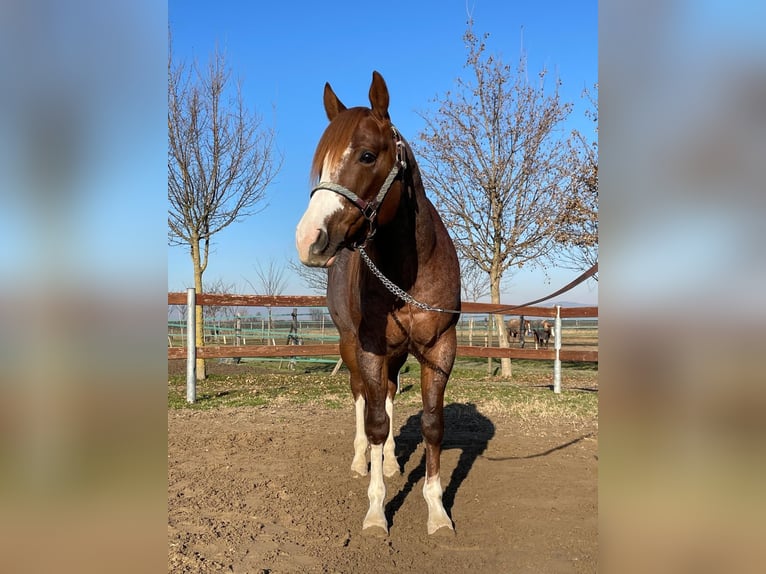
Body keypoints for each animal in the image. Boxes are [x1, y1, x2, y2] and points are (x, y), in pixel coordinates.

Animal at [296, 71, 460, 536]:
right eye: (320, 164)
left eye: (367, 155)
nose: (308, 239)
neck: (408, 273)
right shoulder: (368, 347)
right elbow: (373, 422)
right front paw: (375, 511)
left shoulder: (440, 347)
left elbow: (431, 424)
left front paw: (437, 511)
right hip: (350, 346)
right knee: (361, 399)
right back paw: (361, 461)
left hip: (397, 353)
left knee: (386, 394)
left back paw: (386, 463)